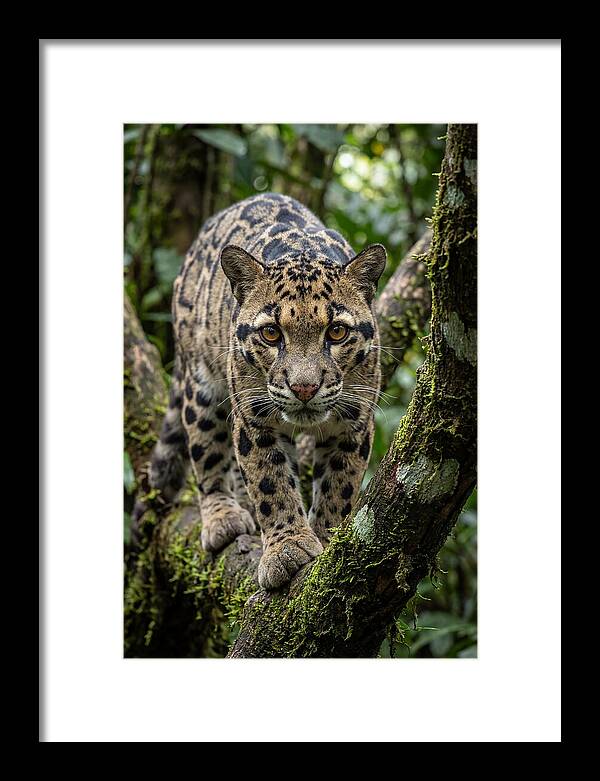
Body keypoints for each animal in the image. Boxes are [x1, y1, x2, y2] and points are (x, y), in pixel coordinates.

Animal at [149, 192, 386, 590]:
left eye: (337, 332)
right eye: (271, 333)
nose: (304, 387)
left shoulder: (354, 421)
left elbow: (339, 485)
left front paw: (326, 539)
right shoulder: (254, 418)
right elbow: (270, 482)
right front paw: (287, 549)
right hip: (201, 384)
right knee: (206, 452)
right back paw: (223, 516)